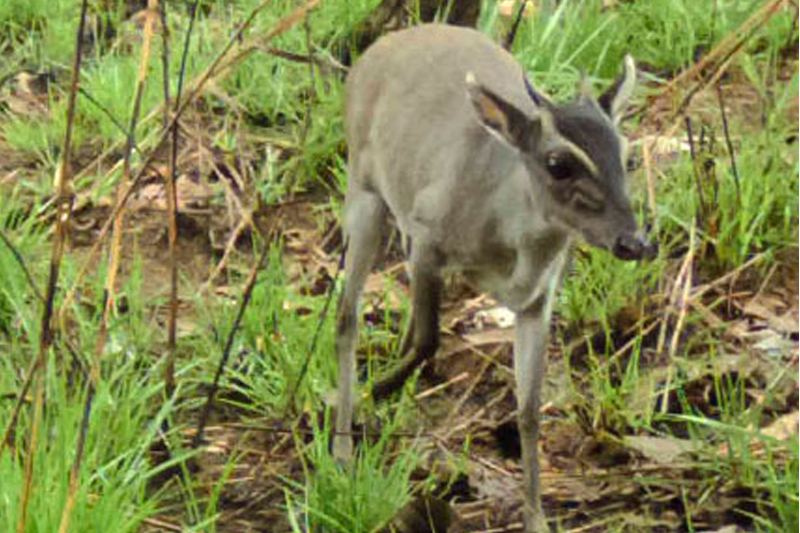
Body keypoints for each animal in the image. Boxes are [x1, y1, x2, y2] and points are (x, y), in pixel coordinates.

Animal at [332, 23, 648, 532]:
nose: (634, 242)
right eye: (558, 163)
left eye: (626, 155)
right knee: (347, 317)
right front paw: (373, 391)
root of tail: (375, 49)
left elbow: (529, 410)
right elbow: (430, 340)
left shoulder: (538, 297)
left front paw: (537, 518)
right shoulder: (429, 237)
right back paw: (343, 445)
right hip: (363, 190)